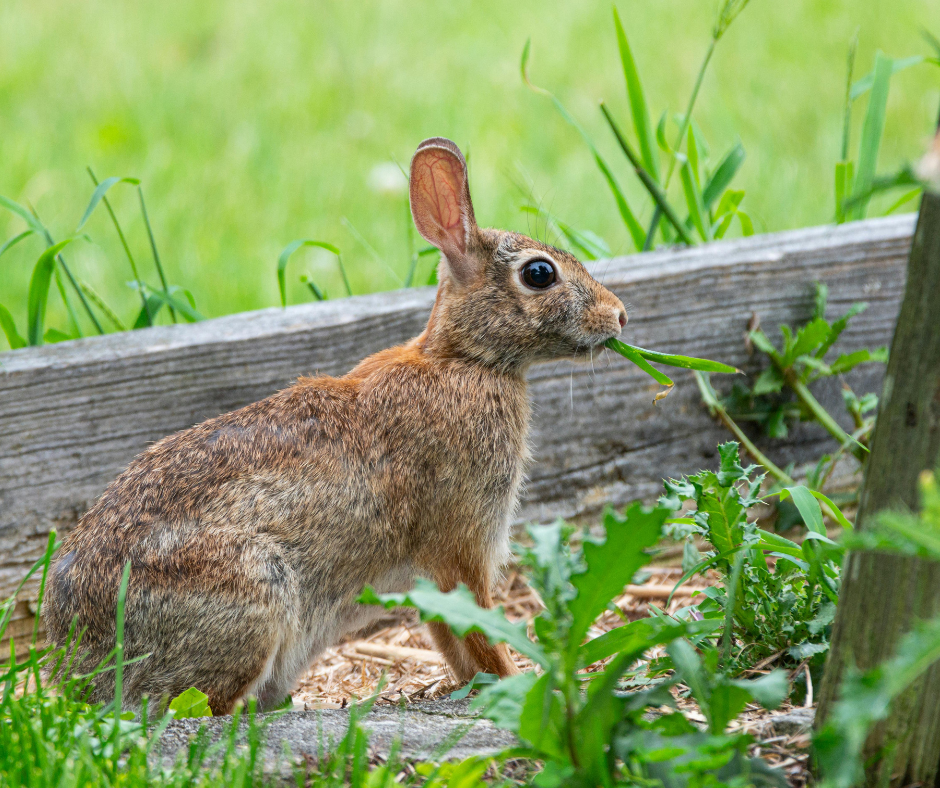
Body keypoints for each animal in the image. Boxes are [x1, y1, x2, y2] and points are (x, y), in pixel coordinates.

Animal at [43, 137, 628, 715]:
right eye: (539, 274)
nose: (620, 315)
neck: (465, 359)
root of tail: (80, 668)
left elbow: (451, 638)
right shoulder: (461, 544)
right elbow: (478, 627)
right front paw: (518, 684)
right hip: (254, 596)